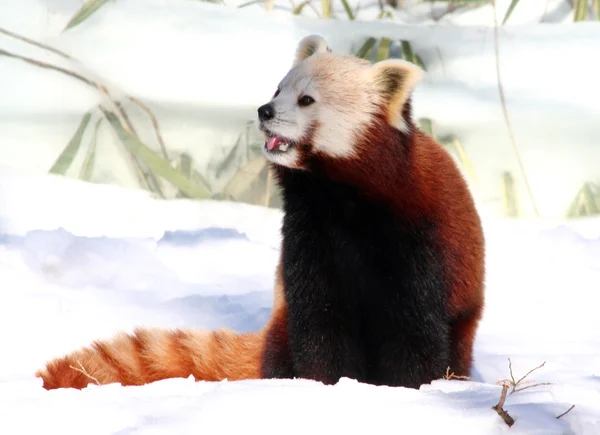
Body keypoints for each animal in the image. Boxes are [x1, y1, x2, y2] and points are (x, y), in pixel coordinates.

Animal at [35, 35, 486, 392]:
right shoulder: (309, 234)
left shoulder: (416, 238)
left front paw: (412, 389)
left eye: (306, 99)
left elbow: (415, 331)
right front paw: (327, 384)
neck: (340, 198)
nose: (264, 111)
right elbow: (320, 320)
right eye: (277, 89)